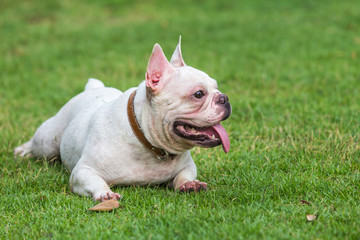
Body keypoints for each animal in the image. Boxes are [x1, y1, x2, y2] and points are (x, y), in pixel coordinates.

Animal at [14, 37, 231, 202]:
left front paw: (189, 184)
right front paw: (105, 194)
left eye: (216, 87)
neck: (145, 139)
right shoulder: (82, 171)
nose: (225, 98)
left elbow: (184, 174)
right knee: (37, 145)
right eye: (199, 94)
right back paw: (22, 150)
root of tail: (93, 88)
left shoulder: (187, 166)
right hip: (48, 142)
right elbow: (95, 180)